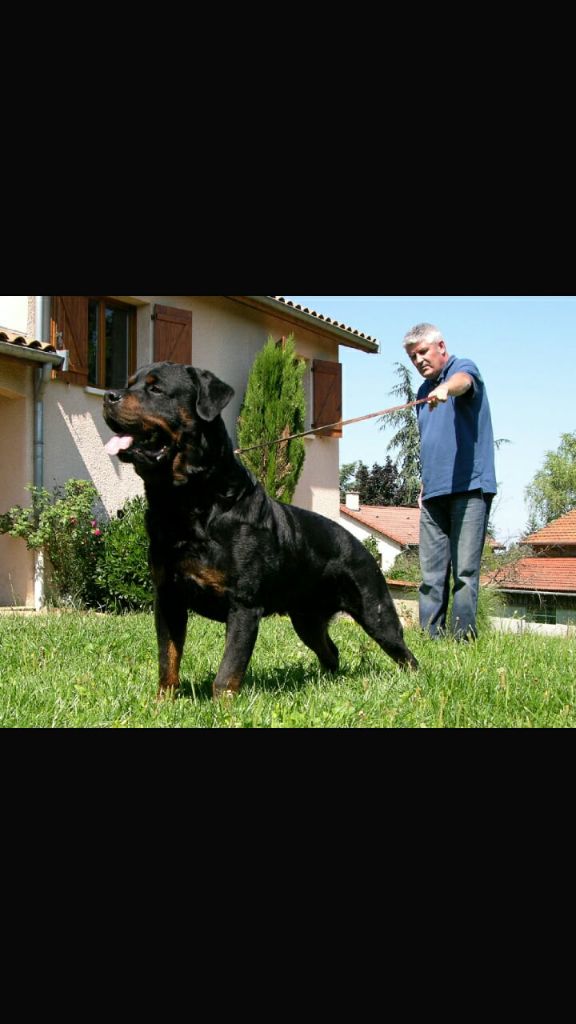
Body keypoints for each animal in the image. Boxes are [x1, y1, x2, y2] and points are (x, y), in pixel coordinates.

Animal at [103, 362, 416, 696]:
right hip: (306, 618)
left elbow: (228, 670)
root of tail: (358, 543)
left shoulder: (243, 604)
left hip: (375, 610)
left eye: (156, 389)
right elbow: (168, 660)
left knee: (402, 651)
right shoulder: (168, 598)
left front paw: (223, 705)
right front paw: (165, 701)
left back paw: (414, 682)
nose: (109, 395)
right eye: (129, 384)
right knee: (330, 650)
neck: (188, 501)